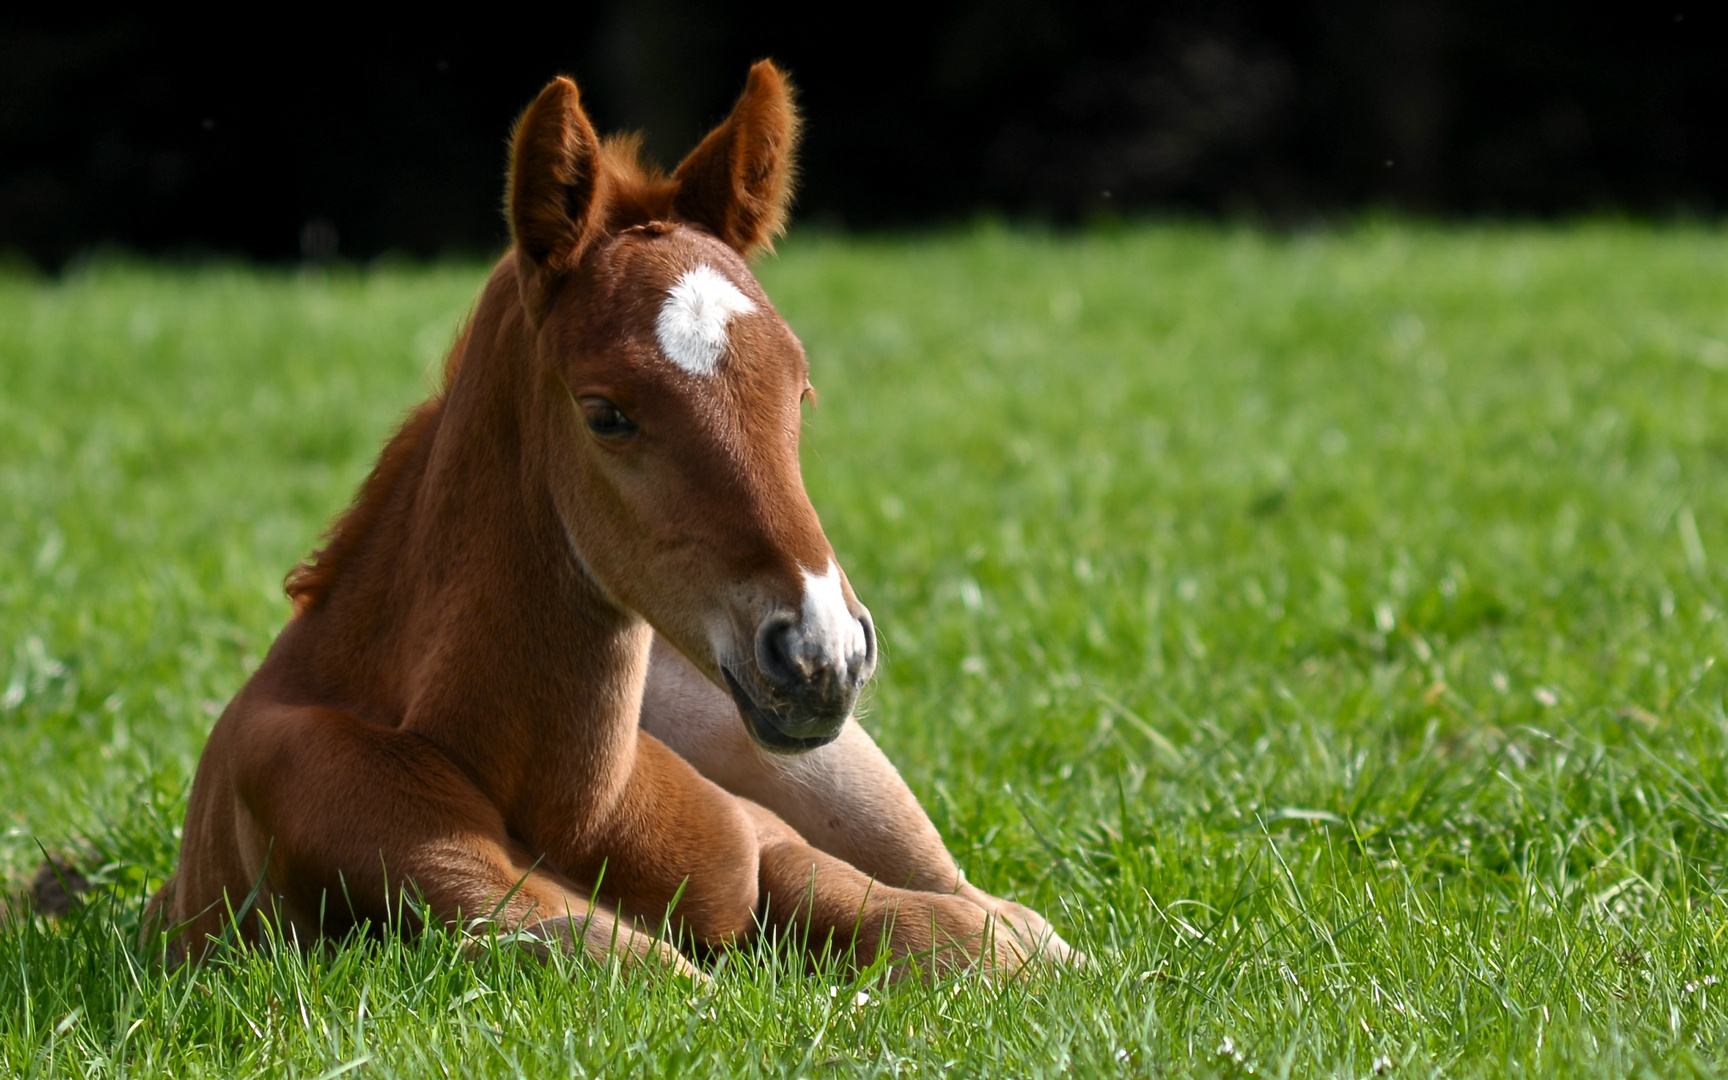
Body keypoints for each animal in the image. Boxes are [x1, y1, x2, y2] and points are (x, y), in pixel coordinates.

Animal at [148, 63, 1071, 974]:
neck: (576, 806)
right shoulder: (479, 910)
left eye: (799, 392)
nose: (822, 652)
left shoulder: (771, 845)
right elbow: (671, 975)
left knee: (996, 909)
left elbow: (981, 939)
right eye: (606, 414)